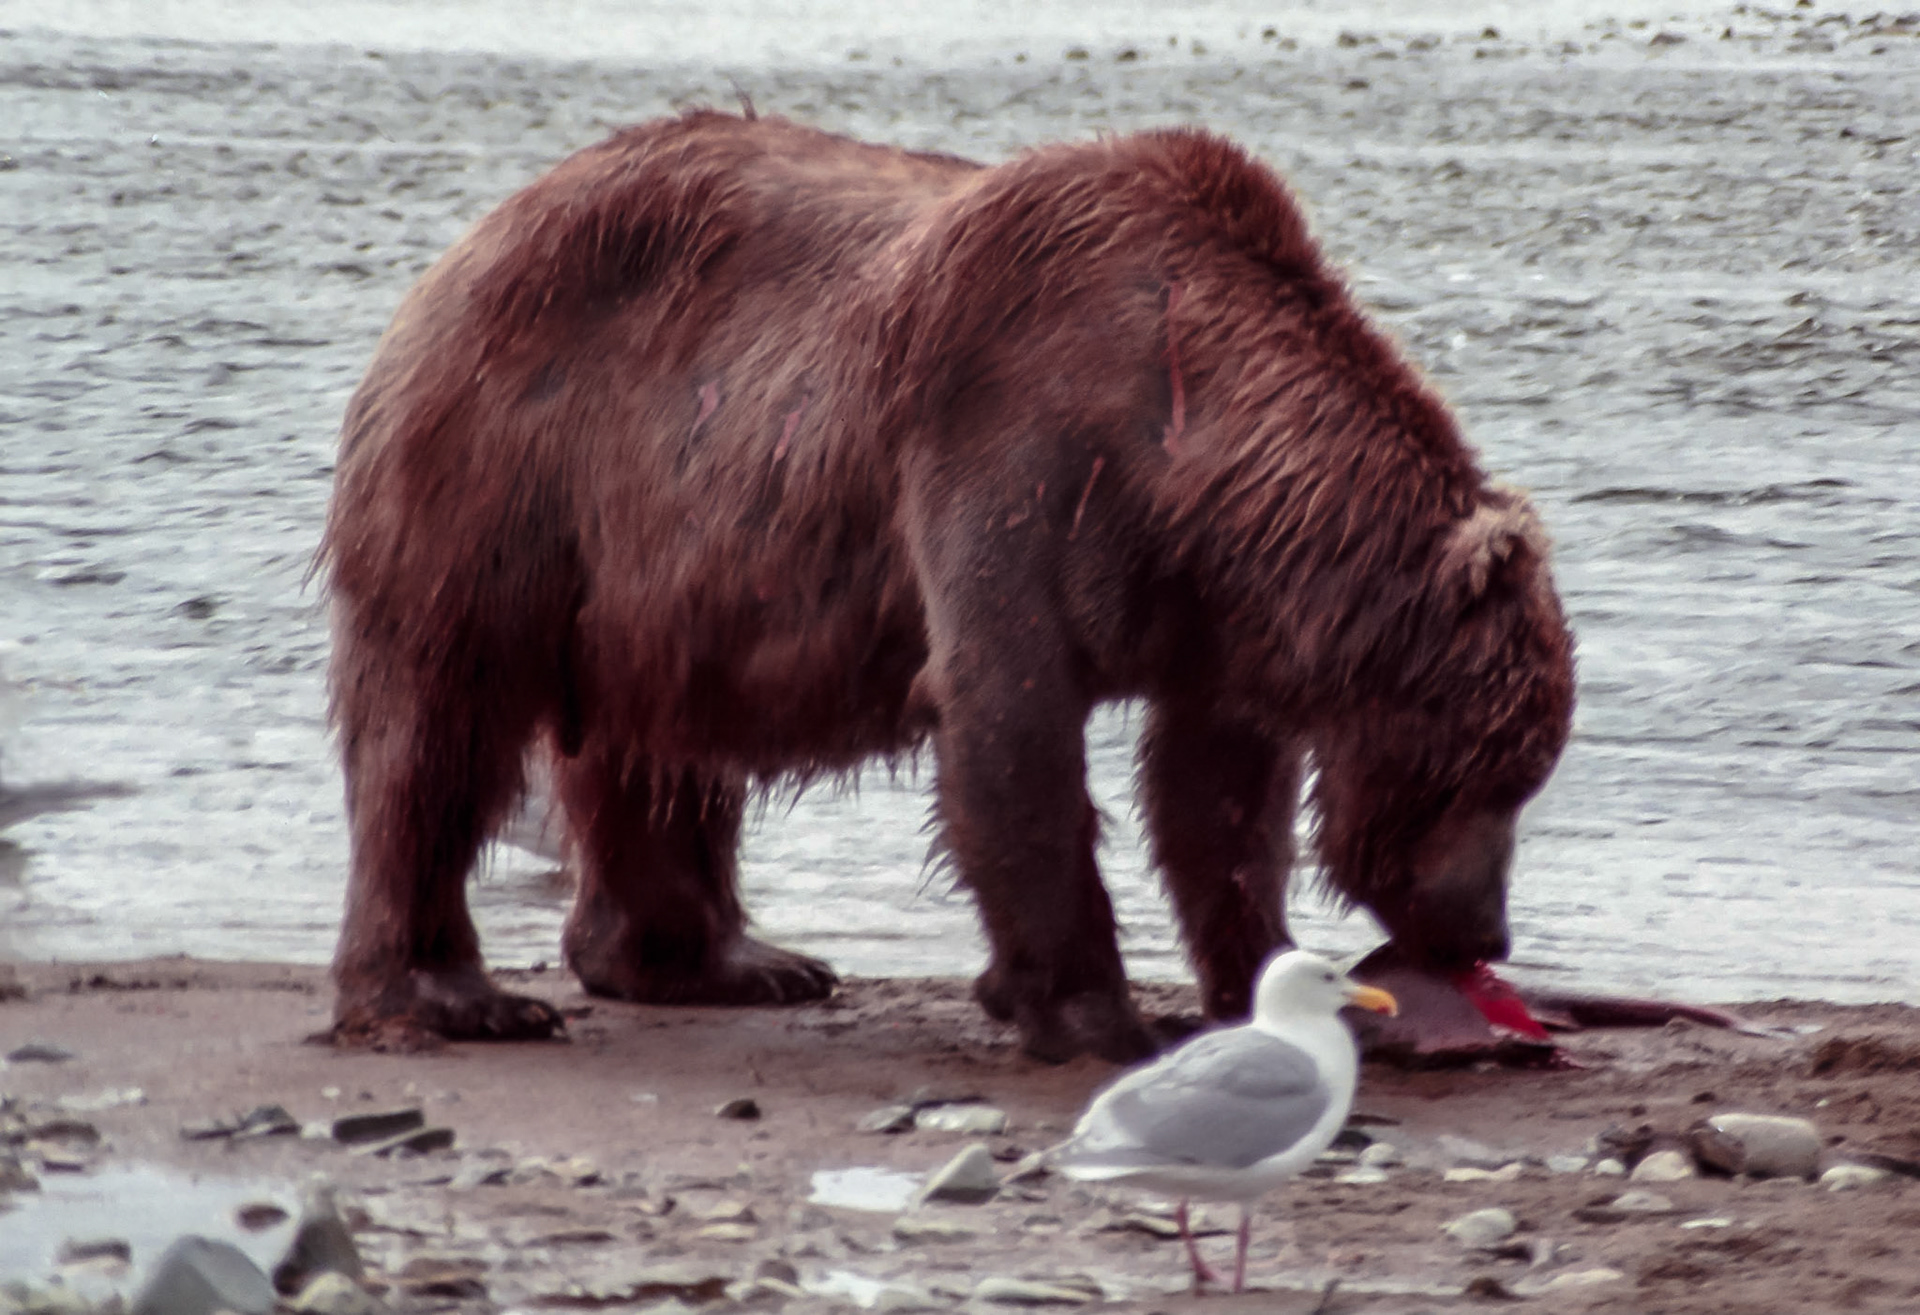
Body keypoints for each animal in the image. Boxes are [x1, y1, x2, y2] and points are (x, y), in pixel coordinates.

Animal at [319, 111, 1576, 1064]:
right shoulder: (1013, 449)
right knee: (439, 726)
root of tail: (473, 238)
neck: (1190, 453)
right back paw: (453, 993)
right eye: (1495, 769)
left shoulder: (1214, 609)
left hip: (651, 564)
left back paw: (730, 961)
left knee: (655, 747)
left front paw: (1264, 982)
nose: (1489, 929)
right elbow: (1009, 724)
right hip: (505, 468)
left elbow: (1215, 796)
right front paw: (1093, 1012)